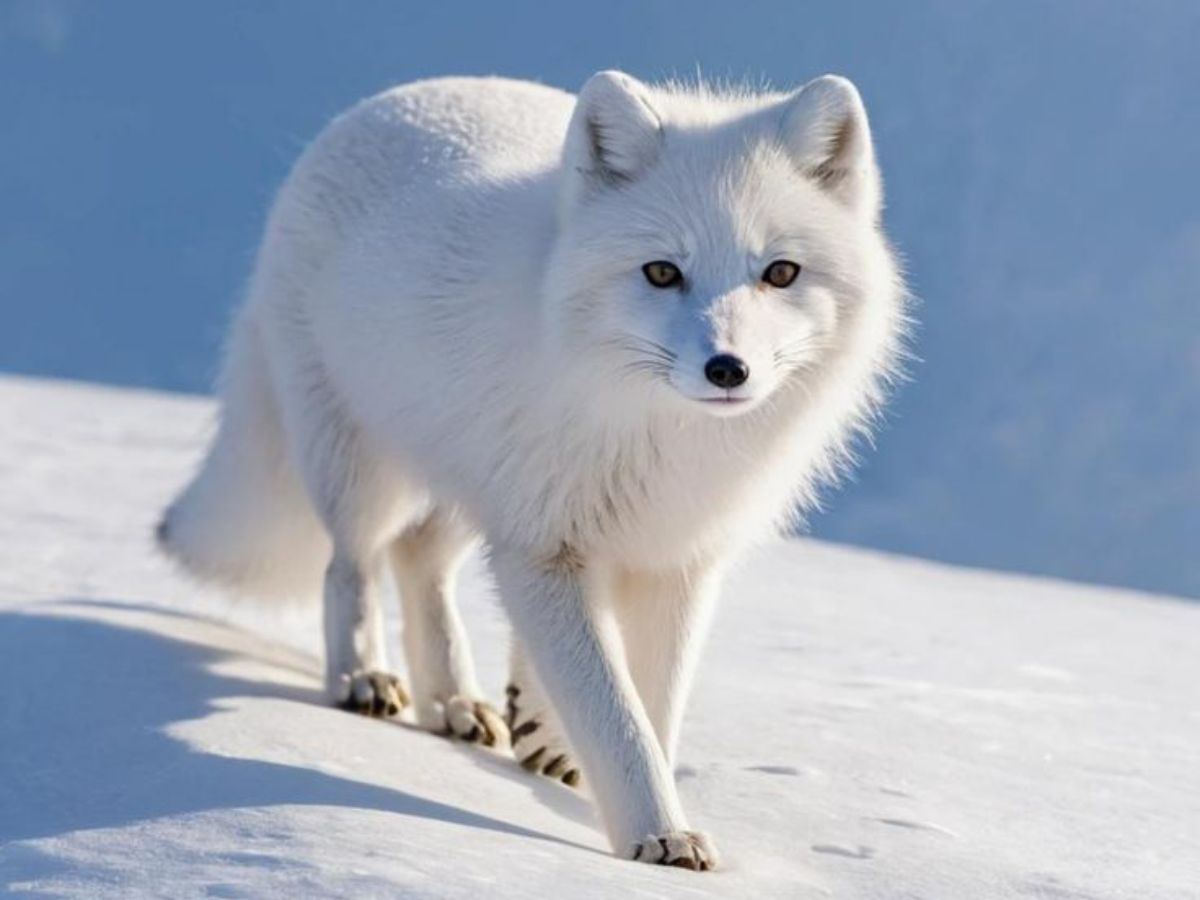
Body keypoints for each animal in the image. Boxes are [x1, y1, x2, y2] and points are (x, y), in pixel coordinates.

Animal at [158, 70, 906, 870]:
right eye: (662, 272)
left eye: (780, 273)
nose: (727, 368)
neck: (658, 433)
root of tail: (386, 100)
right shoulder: (544, 548)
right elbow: (616, 715)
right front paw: (658, 836)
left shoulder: (673, 556)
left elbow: (654, 707)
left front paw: (607, 786)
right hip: (365, 468)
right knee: (353, 565)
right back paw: (365, 679)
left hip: (473, 490)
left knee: (418, 560)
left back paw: (460, 703)